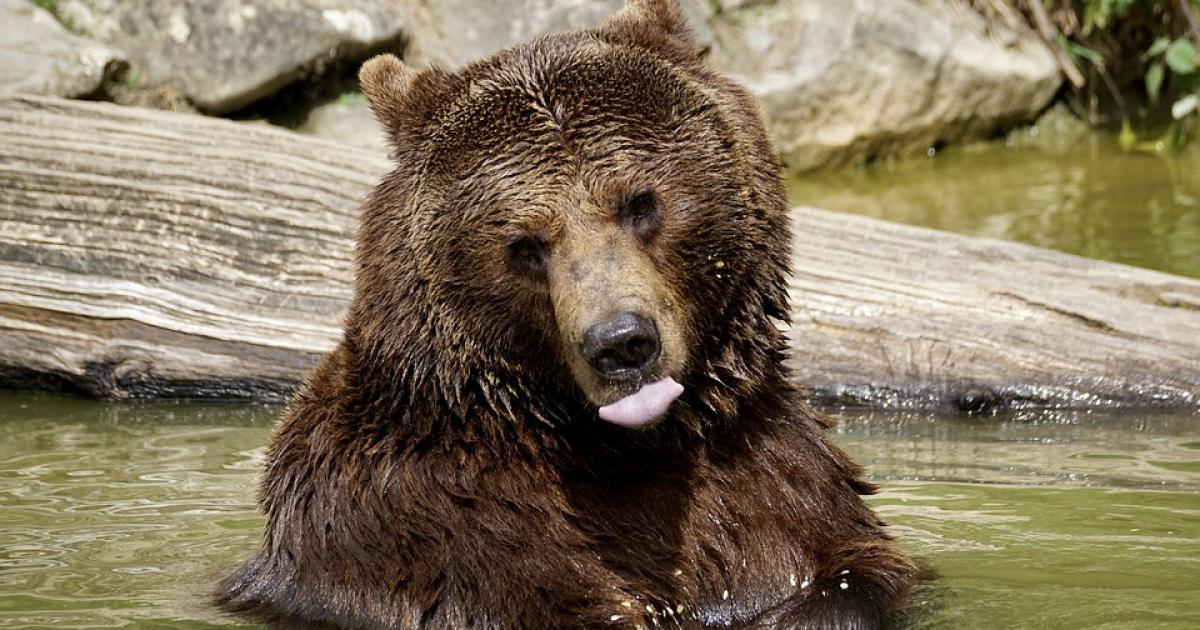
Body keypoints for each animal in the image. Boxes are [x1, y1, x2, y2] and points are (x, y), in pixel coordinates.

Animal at [217, 0, 915, 627]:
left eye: (640, 202)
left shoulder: (767, 481)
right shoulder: (433, 531)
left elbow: (837, 567)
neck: (628, 449)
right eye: (526, 244)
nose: (622, 343)